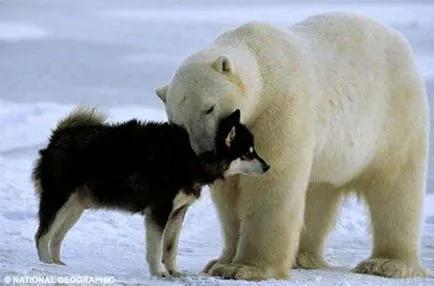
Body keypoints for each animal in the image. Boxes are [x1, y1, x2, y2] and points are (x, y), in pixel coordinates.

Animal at [32, 107, 268, 278]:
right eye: (248, 153)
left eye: (254, 150)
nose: (268, 167)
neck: (193, 156)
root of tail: (57, 137)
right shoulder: (159, 211)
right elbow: (155, 248)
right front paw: (159, 273)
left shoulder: (178, 212)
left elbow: (170, 247)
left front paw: (174, 272)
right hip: (59, 200)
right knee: (42, 236)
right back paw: (47, 266)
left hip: (75, 208)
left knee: (56, 238)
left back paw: (58, 265)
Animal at [155, 12, 428, 280]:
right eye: (178, 123)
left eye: (209, 108)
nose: (204, 153)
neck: (261, 61)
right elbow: (230, 194)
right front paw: (220, 262)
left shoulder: (279, 108)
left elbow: (271, 180)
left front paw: (244, 268)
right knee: (318, 192)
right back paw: (303, 257)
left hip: (394, 118)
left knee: (395, 188)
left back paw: (386, 264)